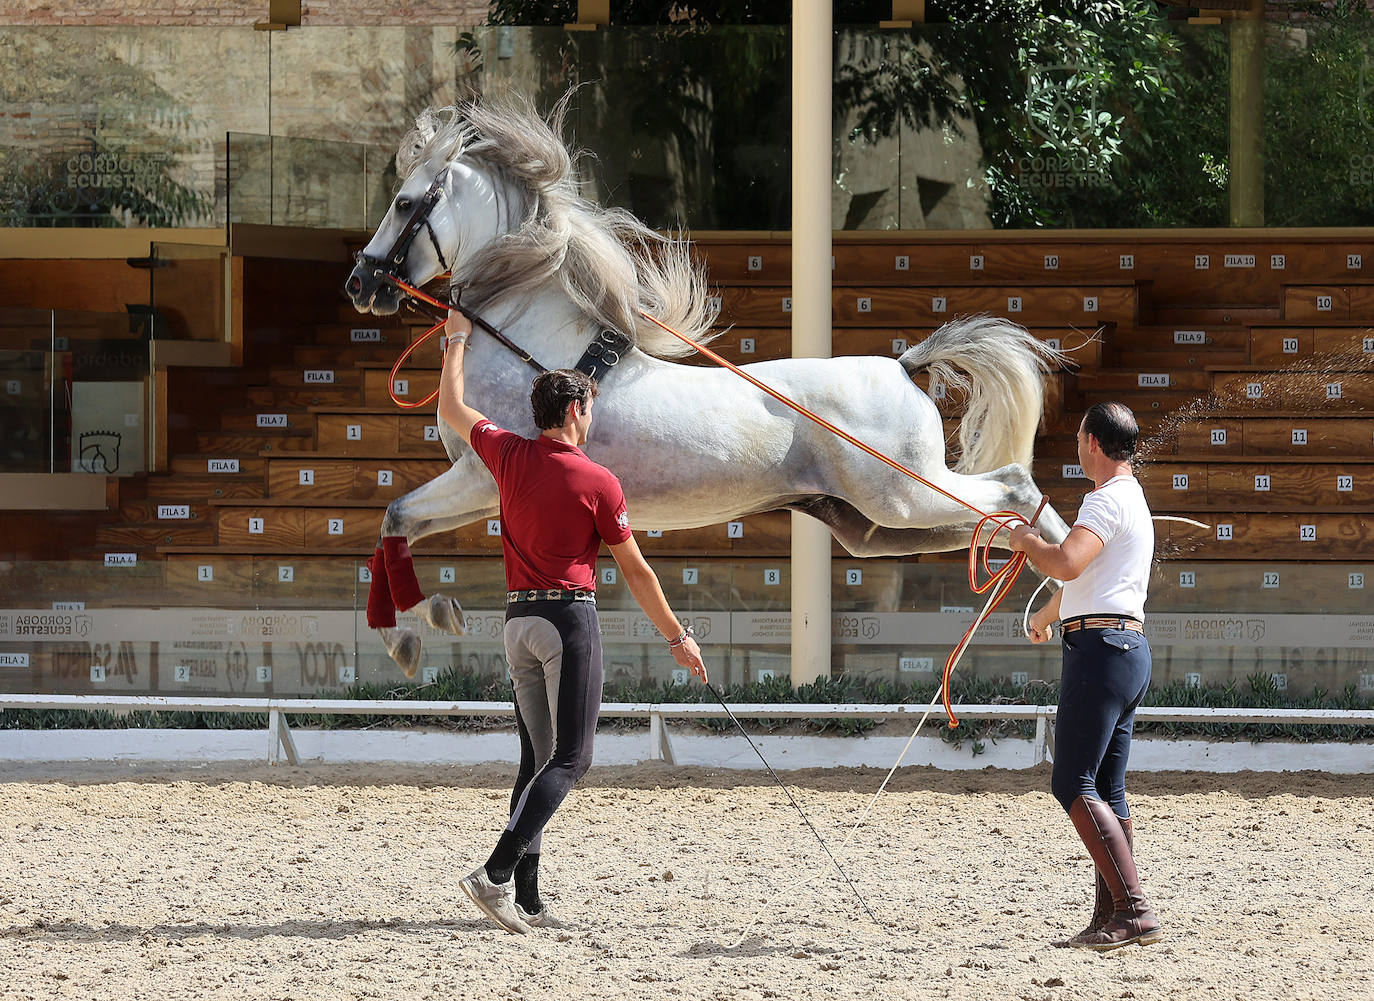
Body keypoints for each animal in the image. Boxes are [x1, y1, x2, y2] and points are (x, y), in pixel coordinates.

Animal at [346, 95, 1071, 678]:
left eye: (405, 203)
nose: (361, 282)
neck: (533, 347)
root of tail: (902, 365)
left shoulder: (480, 475)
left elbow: (395, 515)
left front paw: (418, 628)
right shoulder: (487, 490)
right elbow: (395, 526)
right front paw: (422, 625)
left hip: (904, 495)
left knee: (1016, 488)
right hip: (875, 525)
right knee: (997, 525)